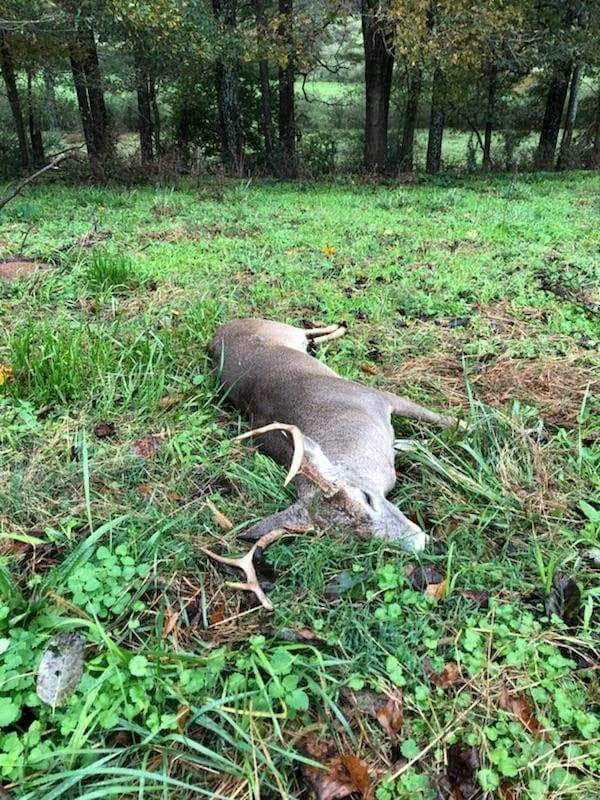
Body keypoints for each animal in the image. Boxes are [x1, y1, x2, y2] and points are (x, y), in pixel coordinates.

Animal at [204, 318, 463, 610]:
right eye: (358, 538)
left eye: (366, 497)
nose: (423, 544)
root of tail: (217, 333)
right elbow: (416, 446)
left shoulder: (377, 396)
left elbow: (442, 419)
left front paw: (476, 425)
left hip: (282, 329)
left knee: (305, 331)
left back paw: (338, 327)